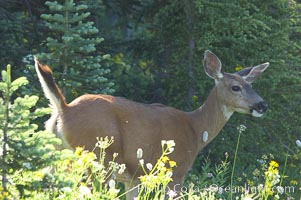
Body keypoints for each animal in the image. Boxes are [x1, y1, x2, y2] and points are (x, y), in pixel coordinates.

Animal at [34, 50, 268, 198]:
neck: (195, 129)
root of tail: (64, 109)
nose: (262, 104)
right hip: (97, 158)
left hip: (59, 157)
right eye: (236, 87)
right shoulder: (176, 171)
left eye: (252, 85)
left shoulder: (133, 179)